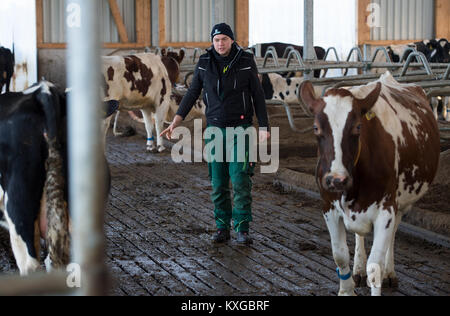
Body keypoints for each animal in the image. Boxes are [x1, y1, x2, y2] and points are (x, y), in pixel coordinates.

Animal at [298, 71, 440, 296]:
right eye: (315, 128)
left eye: (358, 127)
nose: (336, 179)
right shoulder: (328, 207)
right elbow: (340, 255)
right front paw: (346, 290)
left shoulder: (386, 209)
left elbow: (375, 266)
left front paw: (380, 273)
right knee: (359, 236)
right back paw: (358, 269)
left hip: (401, 201)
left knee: (393, 233)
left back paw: (389, 273)